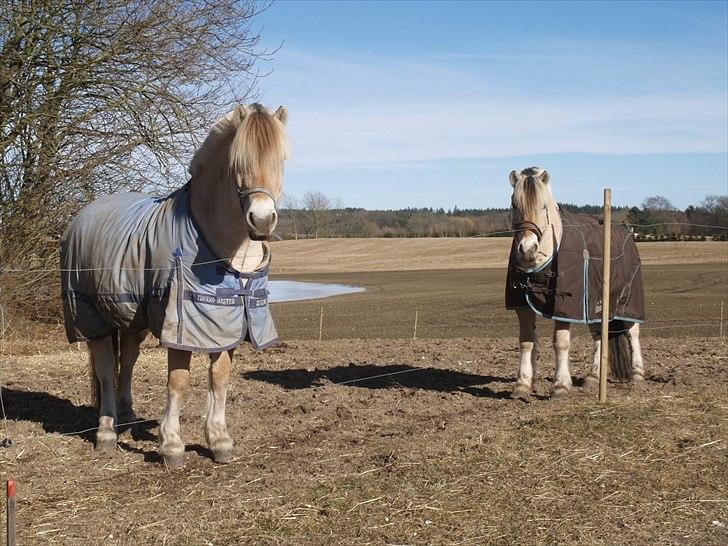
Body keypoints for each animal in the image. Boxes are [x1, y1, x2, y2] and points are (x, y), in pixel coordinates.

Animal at [60, 103, 288, 468]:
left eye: (280, 160)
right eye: (237, 163)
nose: (262, 220)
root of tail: (82, 216)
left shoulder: (229, 323)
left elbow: (220, 378)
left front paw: (220, 441)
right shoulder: (181, 326)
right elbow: (178, 382)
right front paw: (171, 446)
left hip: (131, 318)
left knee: (128, 361)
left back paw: (127, 418)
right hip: (91, 317)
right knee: (107, 370)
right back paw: (107, 433)